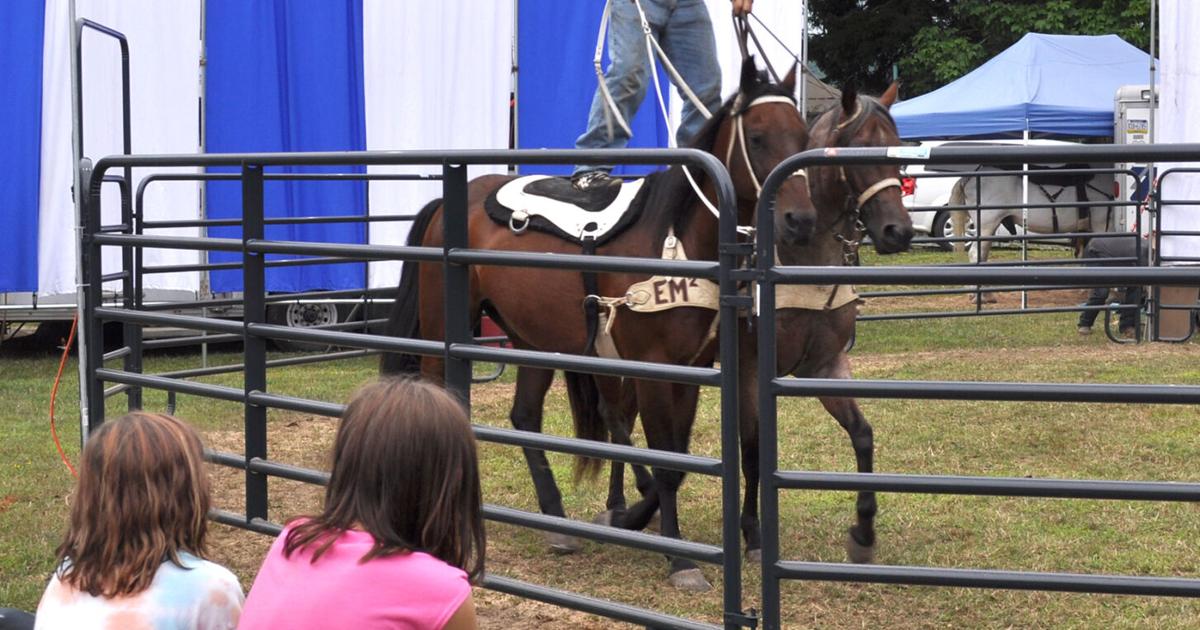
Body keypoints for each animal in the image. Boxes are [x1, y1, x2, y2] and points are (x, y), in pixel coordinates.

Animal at [384, 58, 816, 590]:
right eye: (756, 137)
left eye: (803, 134)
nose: (800, 219)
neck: (677, 241)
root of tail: (447, 204)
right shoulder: (655, 367)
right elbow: (666, 460)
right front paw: (680, 558)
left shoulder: (699, 367)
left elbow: (699, 453)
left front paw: (653, 522)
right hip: (446, 331)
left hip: (533, 341)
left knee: (525, 418)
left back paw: (557, 522)